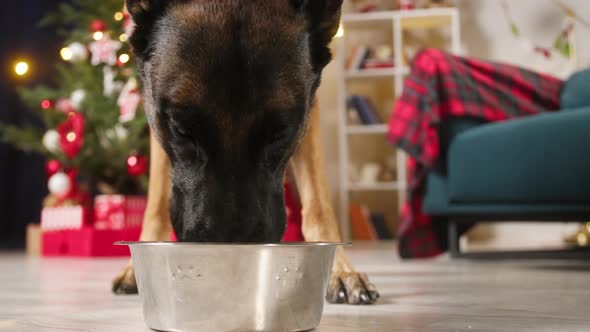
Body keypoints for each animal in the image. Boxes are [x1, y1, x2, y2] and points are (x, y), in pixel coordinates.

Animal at [113, 0, 382, 304]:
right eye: (181, 130)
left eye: (280, 133)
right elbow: (156, 201)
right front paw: (136, 266)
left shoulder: (310, 108)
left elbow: (318, 204)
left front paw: (340, 268)